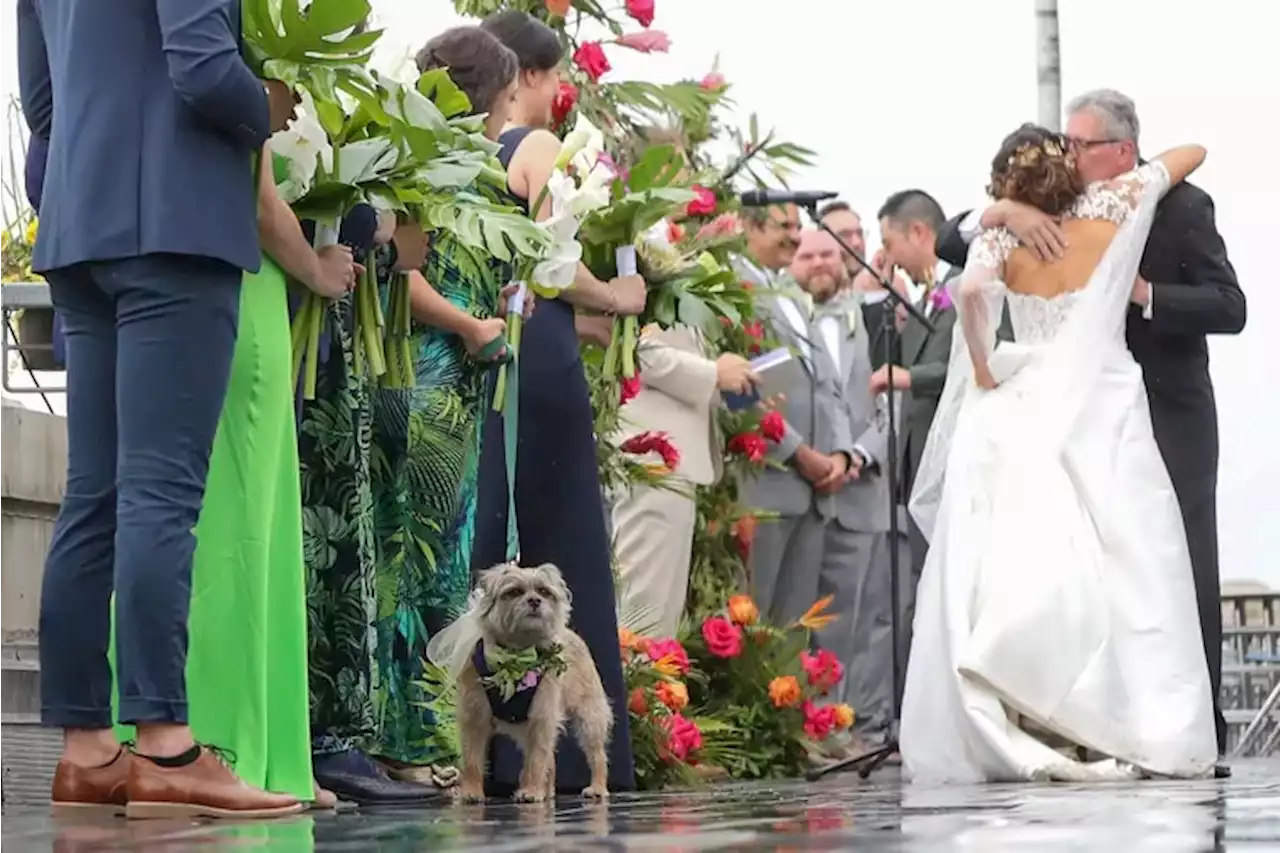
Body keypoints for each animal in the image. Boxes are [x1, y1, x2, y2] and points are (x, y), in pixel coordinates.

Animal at [455, 560, 614, 799]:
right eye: (514, 592)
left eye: (544, 592)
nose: (535, 601)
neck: (516, 655)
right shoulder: (474, 717)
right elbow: (472, 758)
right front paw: (471, 791)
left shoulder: (542, 716)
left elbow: (536, 759)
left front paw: (531, 790)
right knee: (551, 759)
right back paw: (547, 792)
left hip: (590, 718)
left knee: (596, 755)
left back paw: (596, 787)